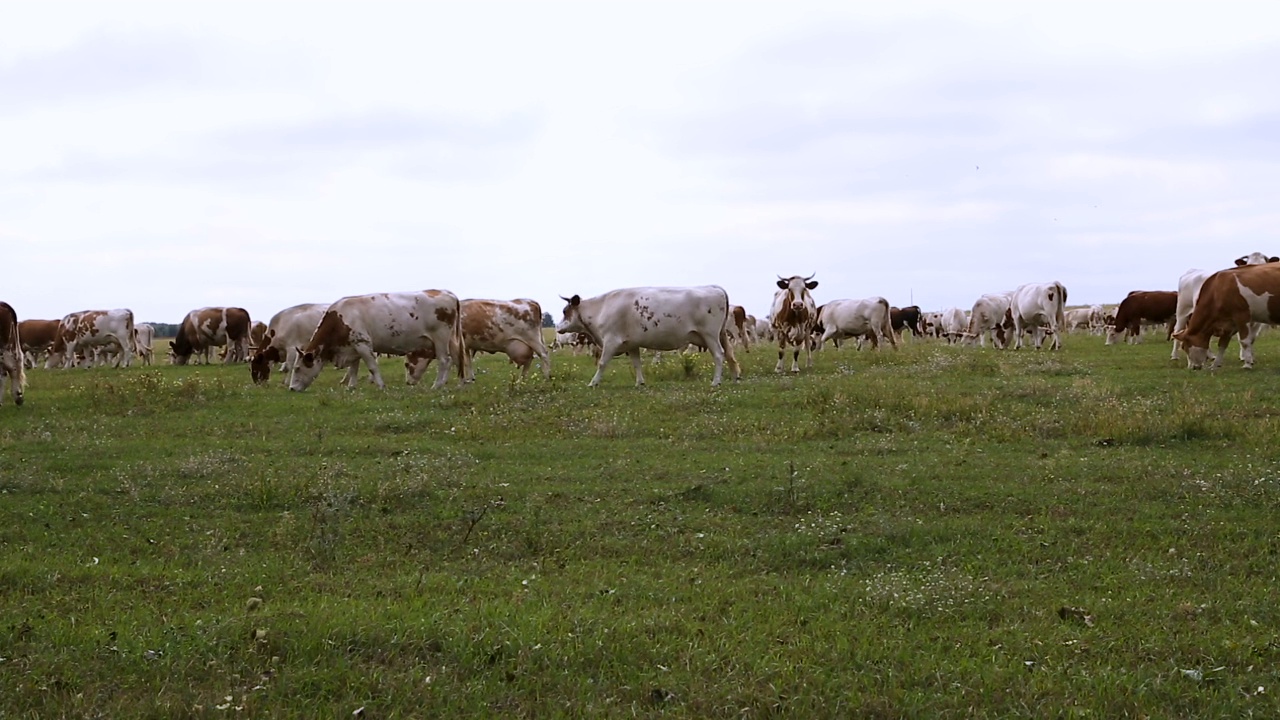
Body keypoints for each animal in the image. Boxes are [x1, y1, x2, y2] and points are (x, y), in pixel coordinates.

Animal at [404, 295, 550, 384]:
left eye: (406, 364)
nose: (408, 382)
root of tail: (529, 301)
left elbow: (460, 362)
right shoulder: (468, 346)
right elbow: (467, 362)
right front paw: (470, 378)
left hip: (532, 339)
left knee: (543, 354)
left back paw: (545, 375)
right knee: (529, 360)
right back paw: (522, 380)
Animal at [552, 285, 742, 386]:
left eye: (565, 311)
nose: (558, 327)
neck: (601, 308)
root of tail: (713, 287)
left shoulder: (611, 341)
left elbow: (602, 363)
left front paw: (593, 382)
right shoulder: (631, 344)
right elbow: (637, 364)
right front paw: (640, 383)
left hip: (710, 335)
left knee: (719, 355)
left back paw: (716, 381)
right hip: (720, 335)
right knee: (730, 355)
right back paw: (734, 378)